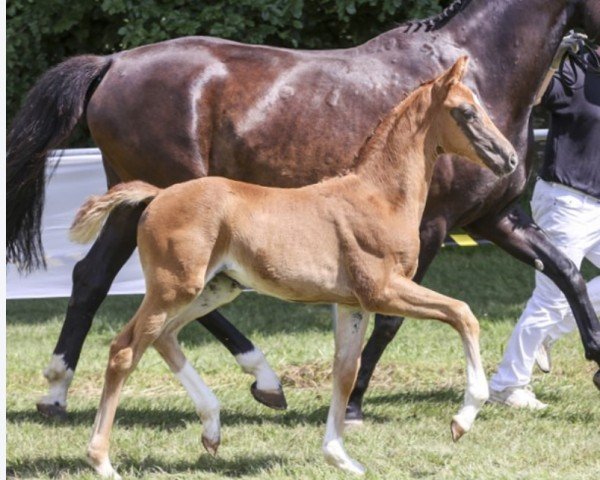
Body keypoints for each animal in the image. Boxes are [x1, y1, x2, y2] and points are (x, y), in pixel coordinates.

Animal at [5, 0, 600, 420]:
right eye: (466, 114)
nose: (503, 158)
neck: (485, 70)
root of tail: (112, 62)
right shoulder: (432, 229)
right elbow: (390, 319)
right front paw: (354, 402)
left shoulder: (496, 219)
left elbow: (567, 273)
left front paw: (596, 361)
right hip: (173, 207)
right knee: (155, 291)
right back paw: (263, 378)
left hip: (141, 207)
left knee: (94, 277)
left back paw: (57, 392)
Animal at [74, 56, 516, 476]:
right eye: (467, 112)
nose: (509, 158)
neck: (379, 197)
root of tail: (158, 195)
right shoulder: (383, 290)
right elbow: (462, 313)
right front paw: (462, 419)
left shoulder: (352, 305)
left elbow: (345, 371)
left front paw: (340, 457)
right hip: (173, 288)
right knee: (125, 349)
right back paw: (102, 460)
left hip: (214, 288)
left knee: (163, 337)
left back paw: (213, 429)